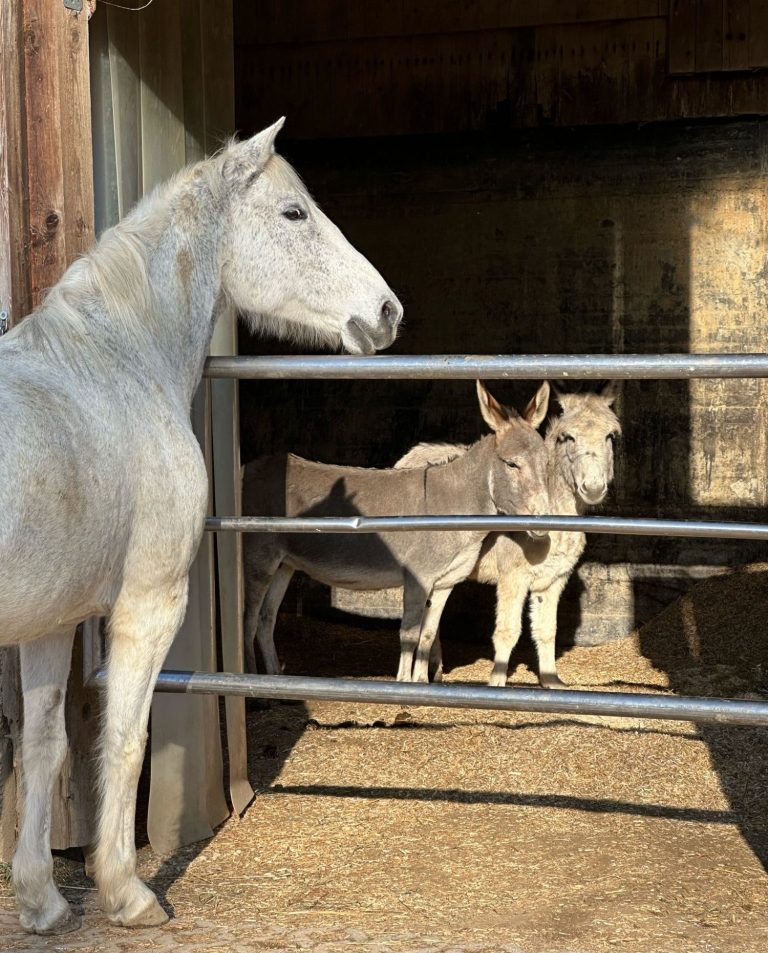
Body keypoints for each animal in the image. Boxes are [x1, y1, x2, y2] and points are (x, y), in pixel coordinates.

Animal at [0, 118, 402, 934]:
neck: (115, 366)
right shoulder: (150, 606)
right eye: (293, 213)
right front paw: (128, 894)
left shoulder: (49, 622)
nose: (386, 312)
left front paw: (43, 900)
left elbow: (46, 743)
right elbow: (124, 743)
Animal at [242, 381, 551, 683]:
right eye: (511, 464)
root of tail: (248, 467)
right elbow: (409, 635)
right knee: (248, 619)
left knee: (266, 618)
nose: (545, 523)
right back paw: (250, 679)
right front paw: (404, 685)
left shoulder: (445, 583)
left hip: (285, 563)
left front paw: (422, 684)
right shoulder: (417, 578)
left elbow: (427, 634)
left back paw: (273, 679)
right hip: (259, 557)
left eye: (546, 463)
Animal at [395, 384, 621, 686]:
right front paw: (497, 684)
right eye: (568, 437)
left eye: (610, 436)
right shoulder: (513, 576)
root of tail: (415, 452)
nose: (593, 489)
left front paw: (551, 681)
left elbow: (547, 630)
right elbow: (508, 632)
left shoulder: (553, 579)